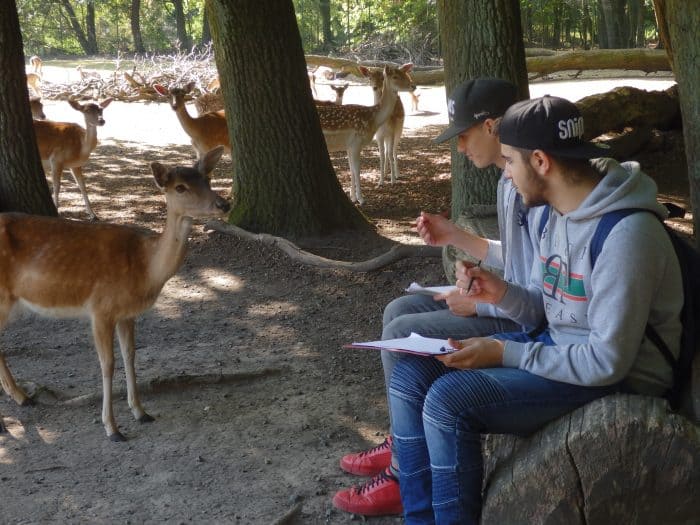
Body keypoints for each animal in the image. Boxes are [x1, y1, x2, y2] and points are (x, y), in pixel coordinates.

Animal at [0, 147, 231, 442]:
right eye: (180, 187)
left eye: (208, 179)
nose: (223, 205)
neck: (145, 268)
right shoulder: (101, 308)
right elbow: (107, 364)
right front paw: (112, 428)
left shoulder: (127, 313)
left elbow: (130, 355)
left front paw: (141, 412)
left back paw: (22, 397)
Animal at [318, 64, 416, 204]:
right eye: (395, 76)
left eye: (406, 74)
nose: (413, 86)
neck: (373, 119)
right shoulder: (356, 143)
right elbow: (357, 170)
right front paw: (361, 199)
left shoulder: (349, 146)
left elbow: (352, 170)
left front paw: (353, 198)